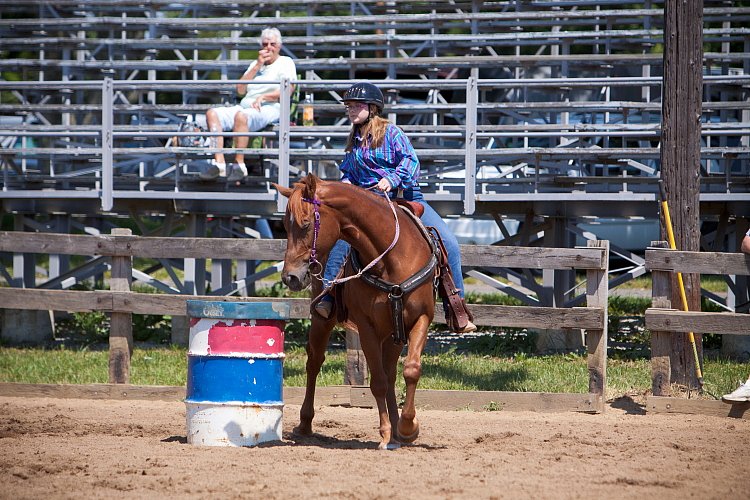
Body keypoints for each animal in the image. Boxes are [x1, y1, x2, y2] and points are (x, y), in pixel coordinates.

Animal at [274, 175, 440, 450]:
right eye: (285, 226)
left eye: (306, 224)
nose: (290, 277)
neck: (391, 259)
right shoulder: (367, 327)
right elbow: (378, 382)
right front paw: (385, 433)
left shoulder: (421, 319)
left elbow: (410, 370)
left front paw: (407, 428)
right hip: (322, 320)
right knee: (314, 363)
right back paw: (305, 424)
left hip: (393, 335)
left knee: (391, 372)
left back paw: (398, 430)